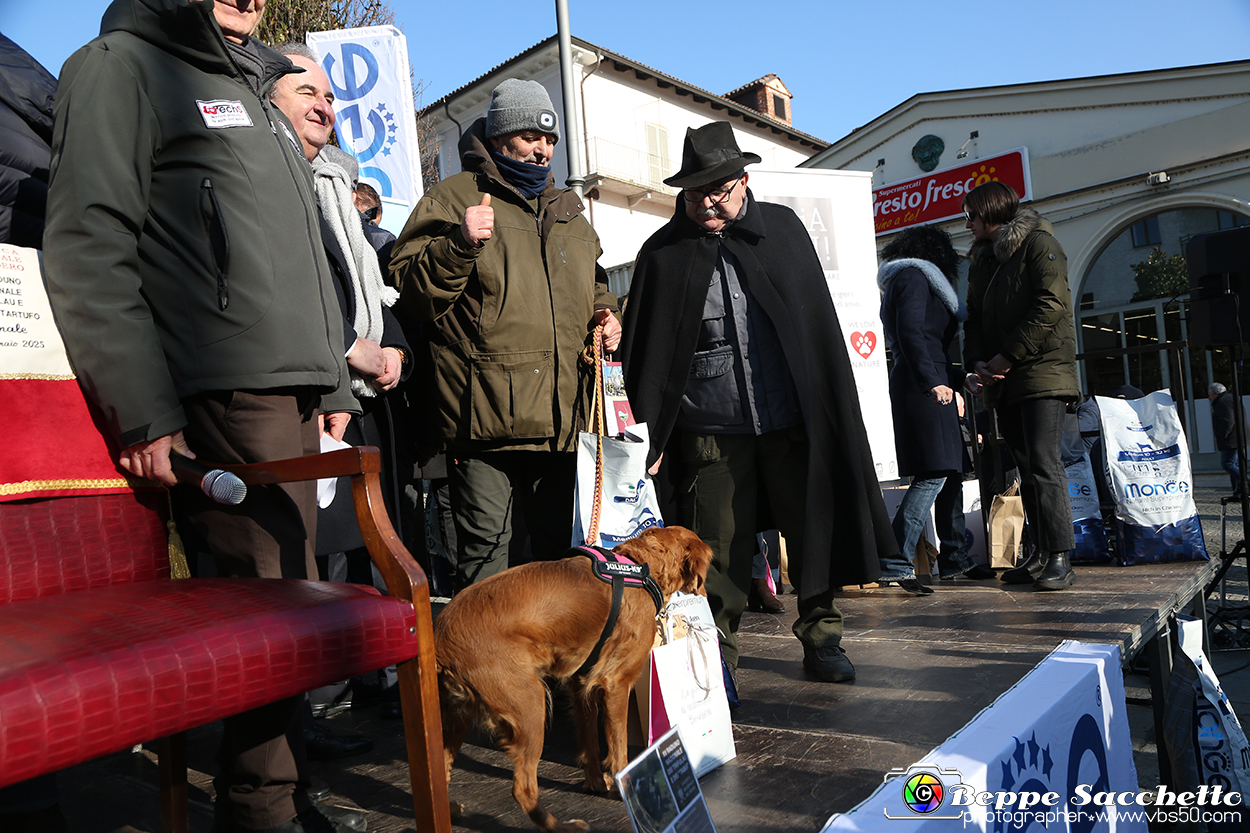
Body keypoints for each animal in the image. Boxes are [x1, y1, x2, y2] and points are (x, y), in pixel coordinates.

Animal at [435, 525, 715, 830]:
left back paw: (450, 809)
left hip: (457, 715)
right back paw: (562, 826)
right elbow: (618, 747)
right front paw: (625, 791)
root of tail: (440, 639)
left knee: (442, 768)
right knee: (523, 788)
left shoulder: (582, 683)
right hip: (531, 705)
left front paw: (596, 783)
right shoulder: (616, 683)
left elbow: (590, 739)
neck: (643, 567)